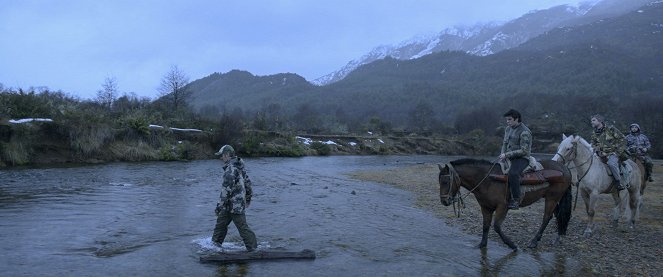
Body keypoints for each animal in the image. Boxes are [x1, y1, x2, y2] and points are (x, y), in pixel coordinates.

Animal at [438, 157, 572, 250]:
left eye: (445, 181)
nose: (444, 201)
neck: (488, 180)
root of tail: (564, 168)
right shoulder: (485, 207)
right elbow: (485, 226)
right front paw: (482, 244)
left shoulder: (502, 207)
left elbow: (497, 226)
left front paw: (512, 245)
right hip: (553, 198)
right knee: (557, 215)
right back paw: (558, 236)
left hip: (552, 198)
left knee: (546, 217)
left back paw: (534, 241)